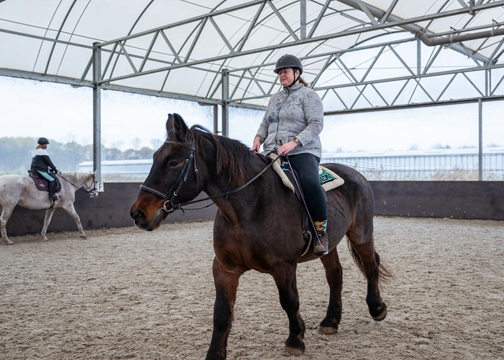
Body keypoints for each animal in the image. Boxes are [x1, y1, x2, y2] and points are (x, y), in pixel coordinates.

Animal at [131, 113, 390, 360]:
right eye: (154, 158)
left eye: (173, 162)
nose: (138, 213)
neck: (247, 207)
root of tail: (357, 175)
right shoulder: (224, 268)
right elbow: (221, 313)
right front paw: (215, 354)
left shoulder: (284, 266)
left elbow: (289, 301)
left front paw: (295, 340)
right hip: (328, 245)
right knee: (335, 274)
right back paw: (331, 321)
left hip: (361, 236)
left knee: (371, 266)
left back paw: (377, 309)